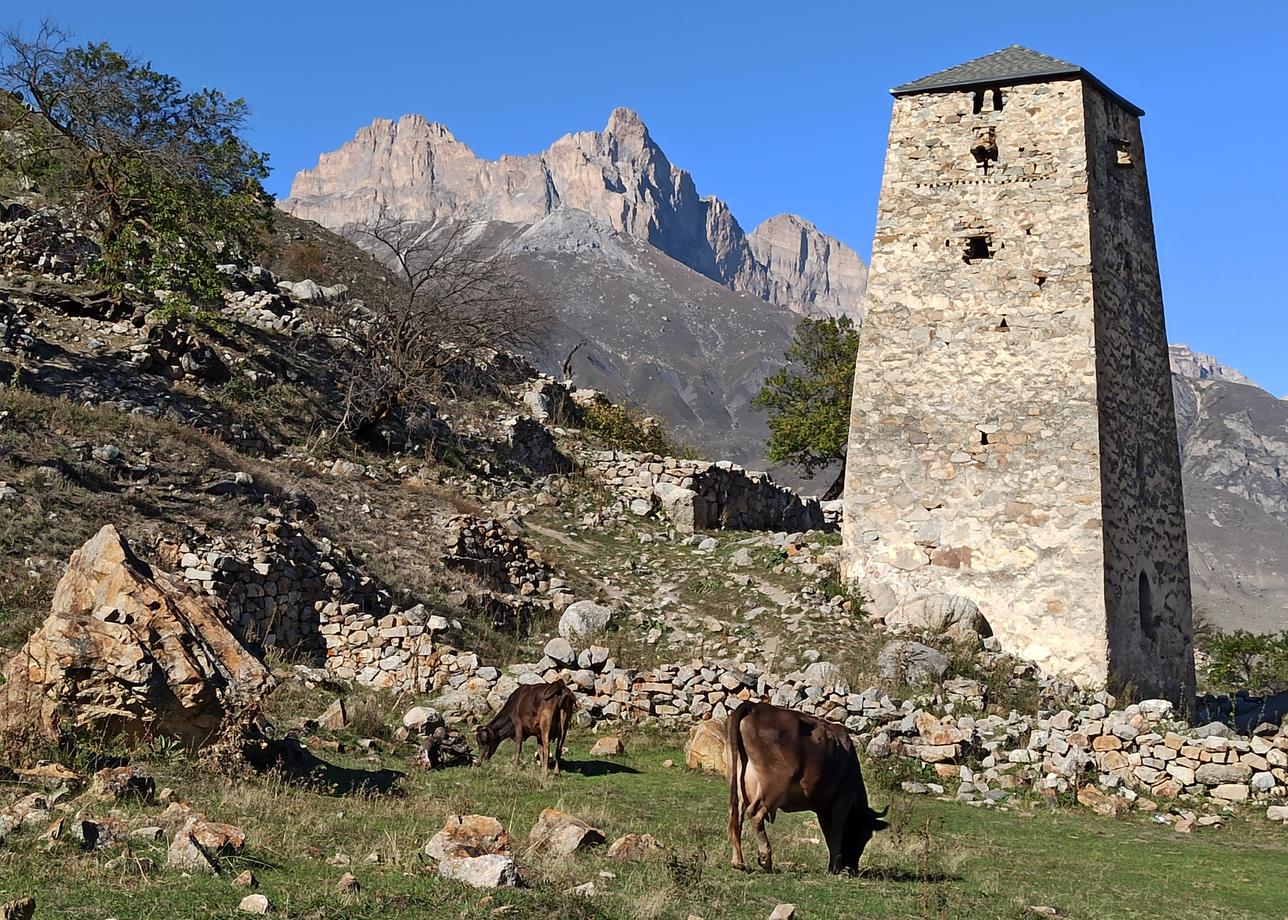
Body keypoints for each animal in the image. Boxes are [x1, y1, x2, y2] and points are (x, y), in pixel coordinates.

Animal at [726, 700, 886, 871]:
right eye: (866, 834)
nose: (853, 868)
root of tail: (755, 706)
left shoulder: (824, 807)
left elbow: (829, 834)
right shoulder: (842, 800)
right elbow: (836, 833)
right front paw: (835, 867)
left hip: (742, 783)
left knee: (736, 815)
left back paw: (738, 862)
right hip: (774, 785)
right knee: (756, 814)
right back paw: (765, 858)